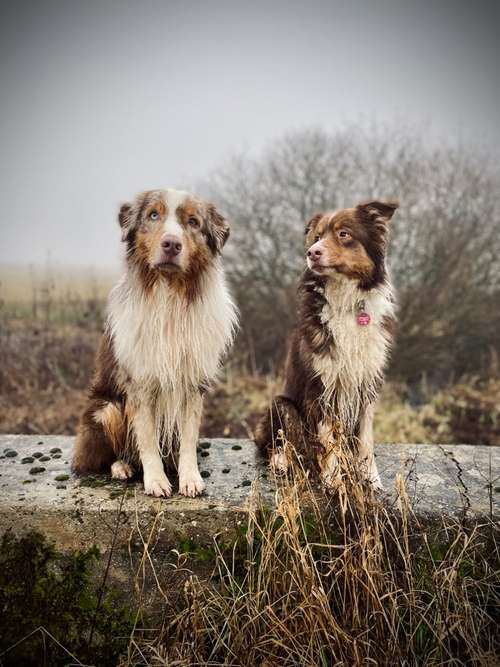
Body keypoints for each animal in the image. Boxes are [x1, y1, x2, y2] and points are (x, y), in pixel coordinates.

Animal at [72, 188, 238, 496]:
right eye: (153, 215)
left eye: (193, 222)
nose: (171, 244)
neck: (170, 294)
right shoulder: (139, 383)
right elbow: (147, 437)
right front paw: (156, 480)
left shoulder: (192, 382)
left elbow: (188, 437)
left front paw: (190, 477)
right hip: (106, 409)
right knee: (98, 457)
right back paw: (121, 467)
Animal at [256, 201, 396, 488]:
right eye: (317, 236)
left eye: (344, 234)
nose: (312, 252)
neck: (346, 302)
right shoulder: (320, 386)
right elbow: (326, 436)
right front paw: (333, 480)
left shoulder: (367, 382)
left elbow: (365, 438)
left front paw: (370, 478)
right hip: (282, 404)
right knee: (276, 443)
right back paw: (282, 461)